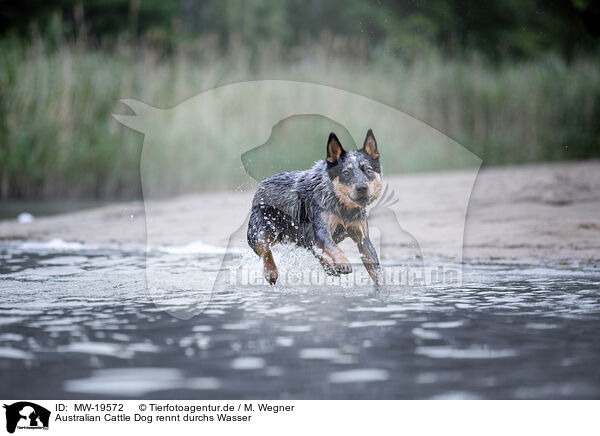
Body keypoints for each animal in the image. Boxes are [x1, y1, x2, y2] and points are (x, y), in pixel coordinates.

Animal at [246, 129, 382, 286]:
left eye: (369, 171)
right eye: (346, 173)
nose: (362, 187)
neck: (344, 209)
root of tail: (261, 186)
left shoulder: (362, 238)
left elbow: (374, 268)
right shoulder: (322, 229)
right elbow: (332, 247)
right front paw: (343, 262)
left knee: (315, 249)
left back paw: (330, 267)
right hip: (261, 231)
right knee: (264, 249)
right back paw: (271, 272)